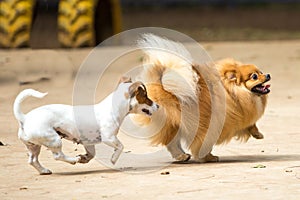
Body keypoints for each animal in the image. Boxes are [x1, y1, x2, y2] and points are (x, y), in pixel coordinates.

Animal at [13, 78, 159, 175]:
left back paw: (44, 170)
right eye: (146, 96)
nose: (158, 106)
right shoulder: (109, 138)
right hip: (54, 139)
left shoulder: (89, 142)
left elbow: (92, 154)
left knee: (32, 160)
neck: (114, 108)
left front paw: (84, 158)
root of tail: (24, 118)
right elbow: (121, 146)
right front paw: (113, 159)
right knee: (58, 156)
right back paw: (73, 159)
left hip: (34, 146)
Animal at [135, 34, 270, 162]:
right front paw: (207, 157)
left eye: (261, 72)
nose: (268, 74)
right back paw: (182, 156)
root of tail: (157, 84)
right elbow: (203, 143)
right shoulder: (211, 124)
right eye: (254, 76)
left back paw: (183, 156)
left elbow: (251, 124)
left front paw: (257, 134)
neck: (231, 92)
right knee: (172, 143)